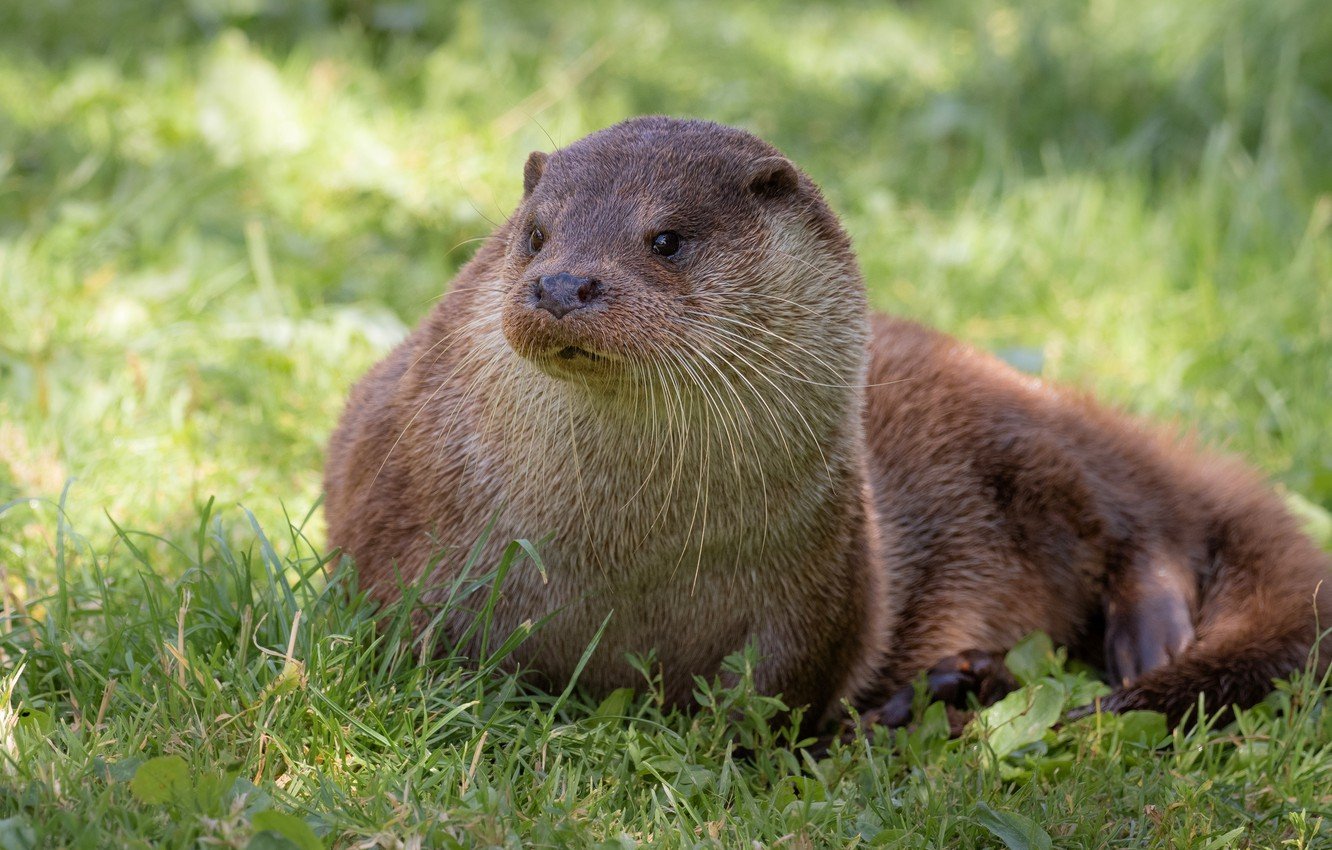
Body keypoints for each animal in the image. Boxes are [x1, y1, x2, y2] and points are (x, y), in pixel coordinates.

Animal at [322, 114, 1332, 735]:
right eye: (535, 233)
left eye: (666, 239)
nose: (562, 282)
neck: (622, 554)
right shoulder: (406, 531)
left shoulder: (823, 585)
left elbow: (783, 699)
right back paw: (954, 684)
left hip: (1033, 441)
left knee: (1144, 517)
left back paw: (1137, 642)